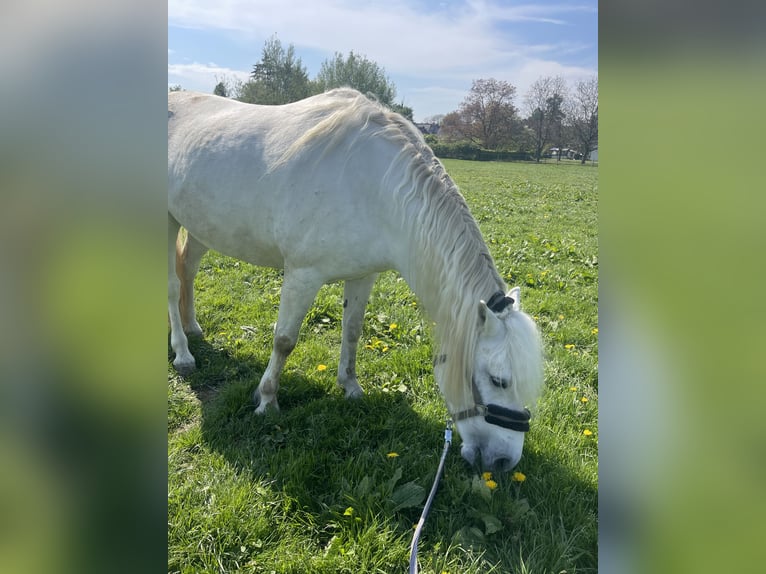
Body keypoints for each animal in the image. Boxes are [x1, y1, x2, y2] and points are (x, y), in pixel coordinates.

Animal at [168, 88, 544, 470]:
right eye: (498, 380)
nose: (504, 461)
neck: (376, 189)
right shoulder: (302, 275)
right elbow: (284, 340)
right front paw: (267, 400)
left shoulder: (364, 276)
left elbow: (352, 331)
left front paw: (350, 387)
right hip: (167, 221)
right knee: (172, 287)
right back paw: (183, 353)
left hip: (202, 227)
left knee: (188, 270)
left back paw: (193, 327)